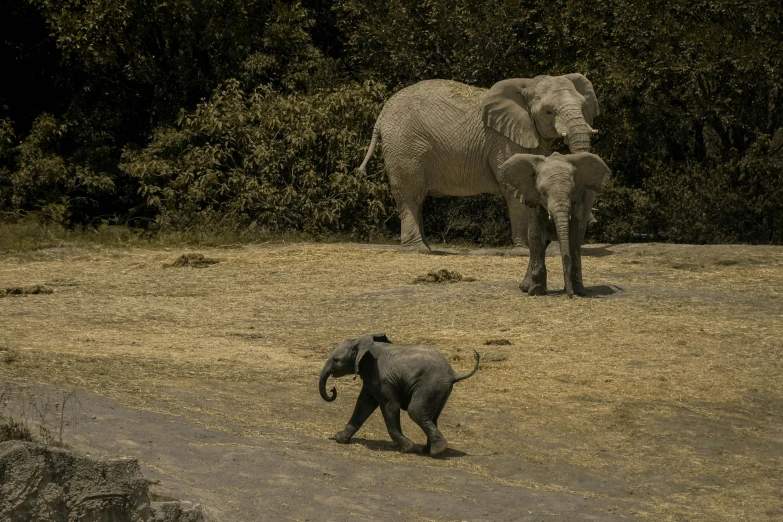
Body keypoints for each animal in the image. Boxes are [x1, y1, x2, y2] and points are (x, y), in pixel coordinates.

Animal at [316, 336, 478, 452]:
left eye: (336, 360)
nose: (333, 390)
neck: (363, 343)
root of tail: (453, 374)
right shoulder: (371, 378)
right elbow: (363, 404)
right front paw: (340, 438)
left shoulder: (382, 379)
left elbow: (390, 405)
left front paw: (407, 447)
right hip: (440, 389)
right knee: (431, 416)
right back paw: (429, 450)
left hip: (431, 385)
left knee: (416, 411)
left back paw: (437, 450)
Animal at [356, 73, 600, 252]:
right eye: (549, 112)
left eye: (582, 106)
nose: (594, 220)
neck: (527, 85)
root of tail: (382, 114)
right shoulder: (503, 141)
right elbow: (514, 190)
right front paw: (524, 251)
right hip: (404, 147)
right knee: (411, 196)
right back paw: (418, 250)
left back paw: (425, 247)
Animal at [496, 152, 612, 294]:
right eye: (543, 193)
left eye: (572, 192)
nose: (570, 295)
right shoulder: (533, 197)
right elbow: (535, 234)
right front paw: (536, 291)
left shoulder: (579, 200)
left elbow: (574, 235)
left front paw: (578, 291)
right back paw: (526, 287)